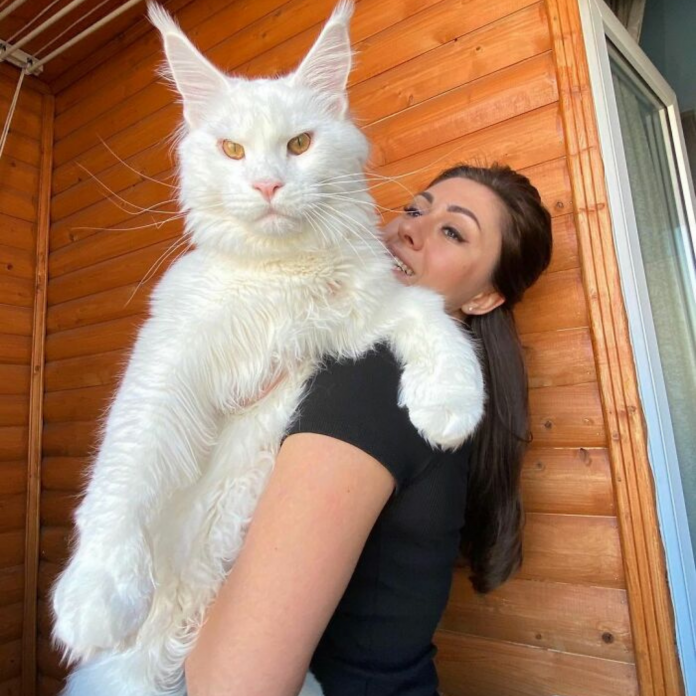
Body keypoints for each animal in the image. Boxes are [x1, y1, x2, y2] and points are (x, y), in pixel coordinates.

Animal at [51, 2, 484, 692]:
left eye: (299, 145)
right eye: (232, 150)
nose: (267, 186)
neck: (280, 279)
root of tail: (154, 665)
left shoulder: (360, 314)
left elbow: (430, 314)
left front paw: (449, 404)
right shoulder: (169, 358)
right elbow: (126, 465)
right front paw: (96, 590)